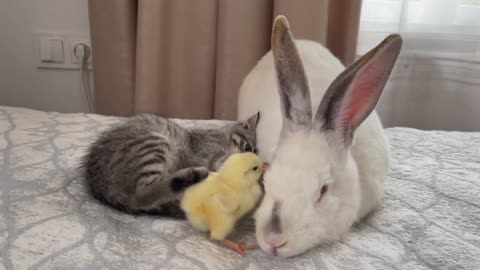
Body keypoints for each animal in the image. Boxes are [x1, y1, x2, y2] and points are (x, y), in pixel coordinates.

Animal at [82, 113, 258, 218]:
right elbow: (223, 161)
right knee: (141, 194)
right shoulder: (206, 153)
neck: (224, 137)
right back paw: (192, 176)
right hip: (153, 143)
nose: (255, 158)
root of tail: (97, 182)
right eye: (248, 147)